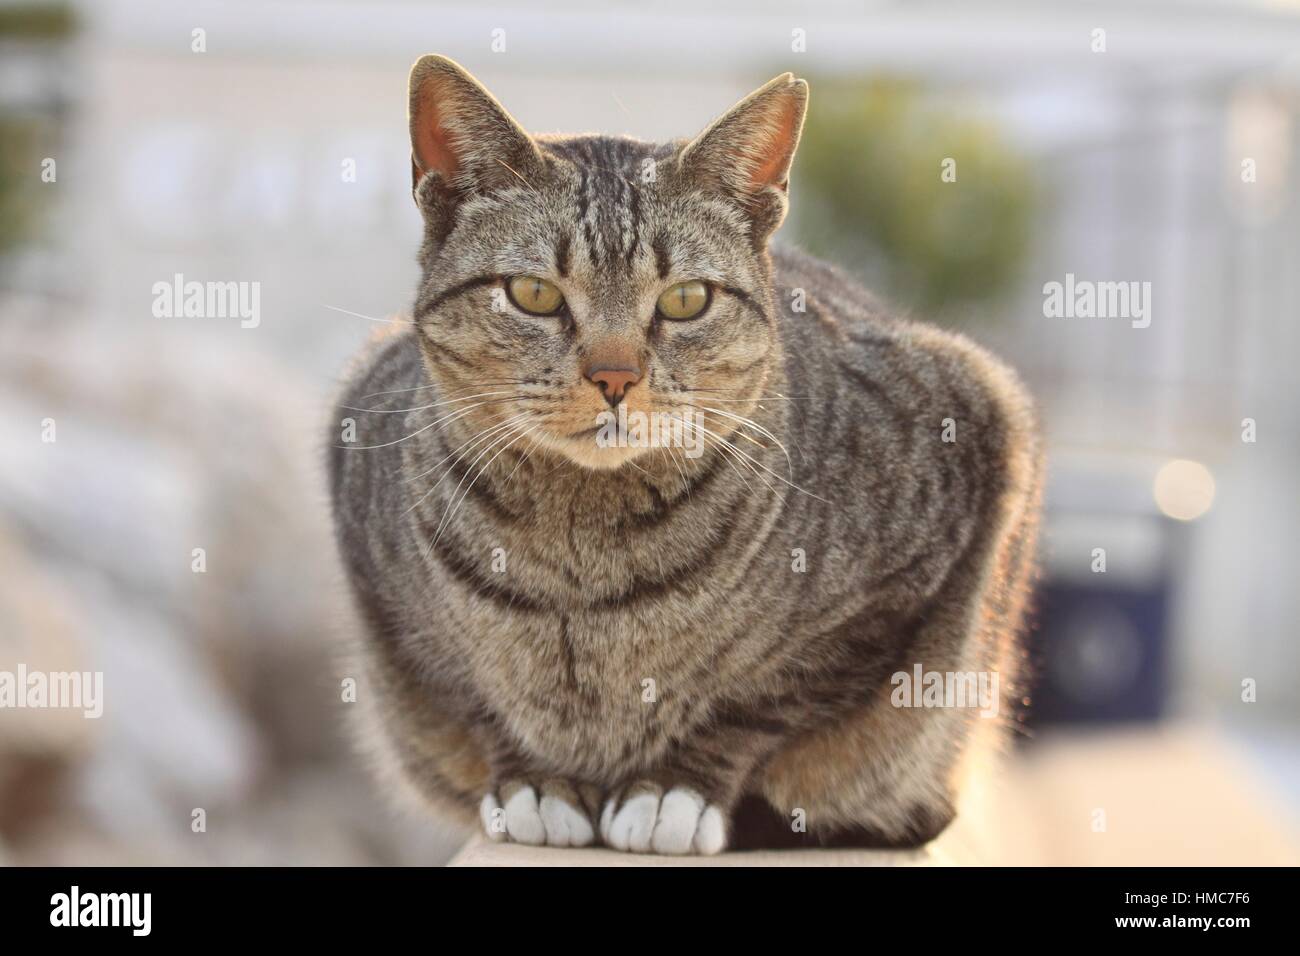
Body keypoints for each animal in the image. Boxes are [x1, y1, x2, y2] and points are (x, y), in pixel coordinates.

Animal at [330, 55, 1040, 858]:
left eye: (685, 300)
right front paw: (535, 782)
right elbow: (474, 695)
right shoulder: (391, 597)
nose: (614, 378)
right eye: (534, 293)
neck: (582, 556)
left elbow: (766, 699)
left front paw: (674, 789)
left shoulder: (934, 514)